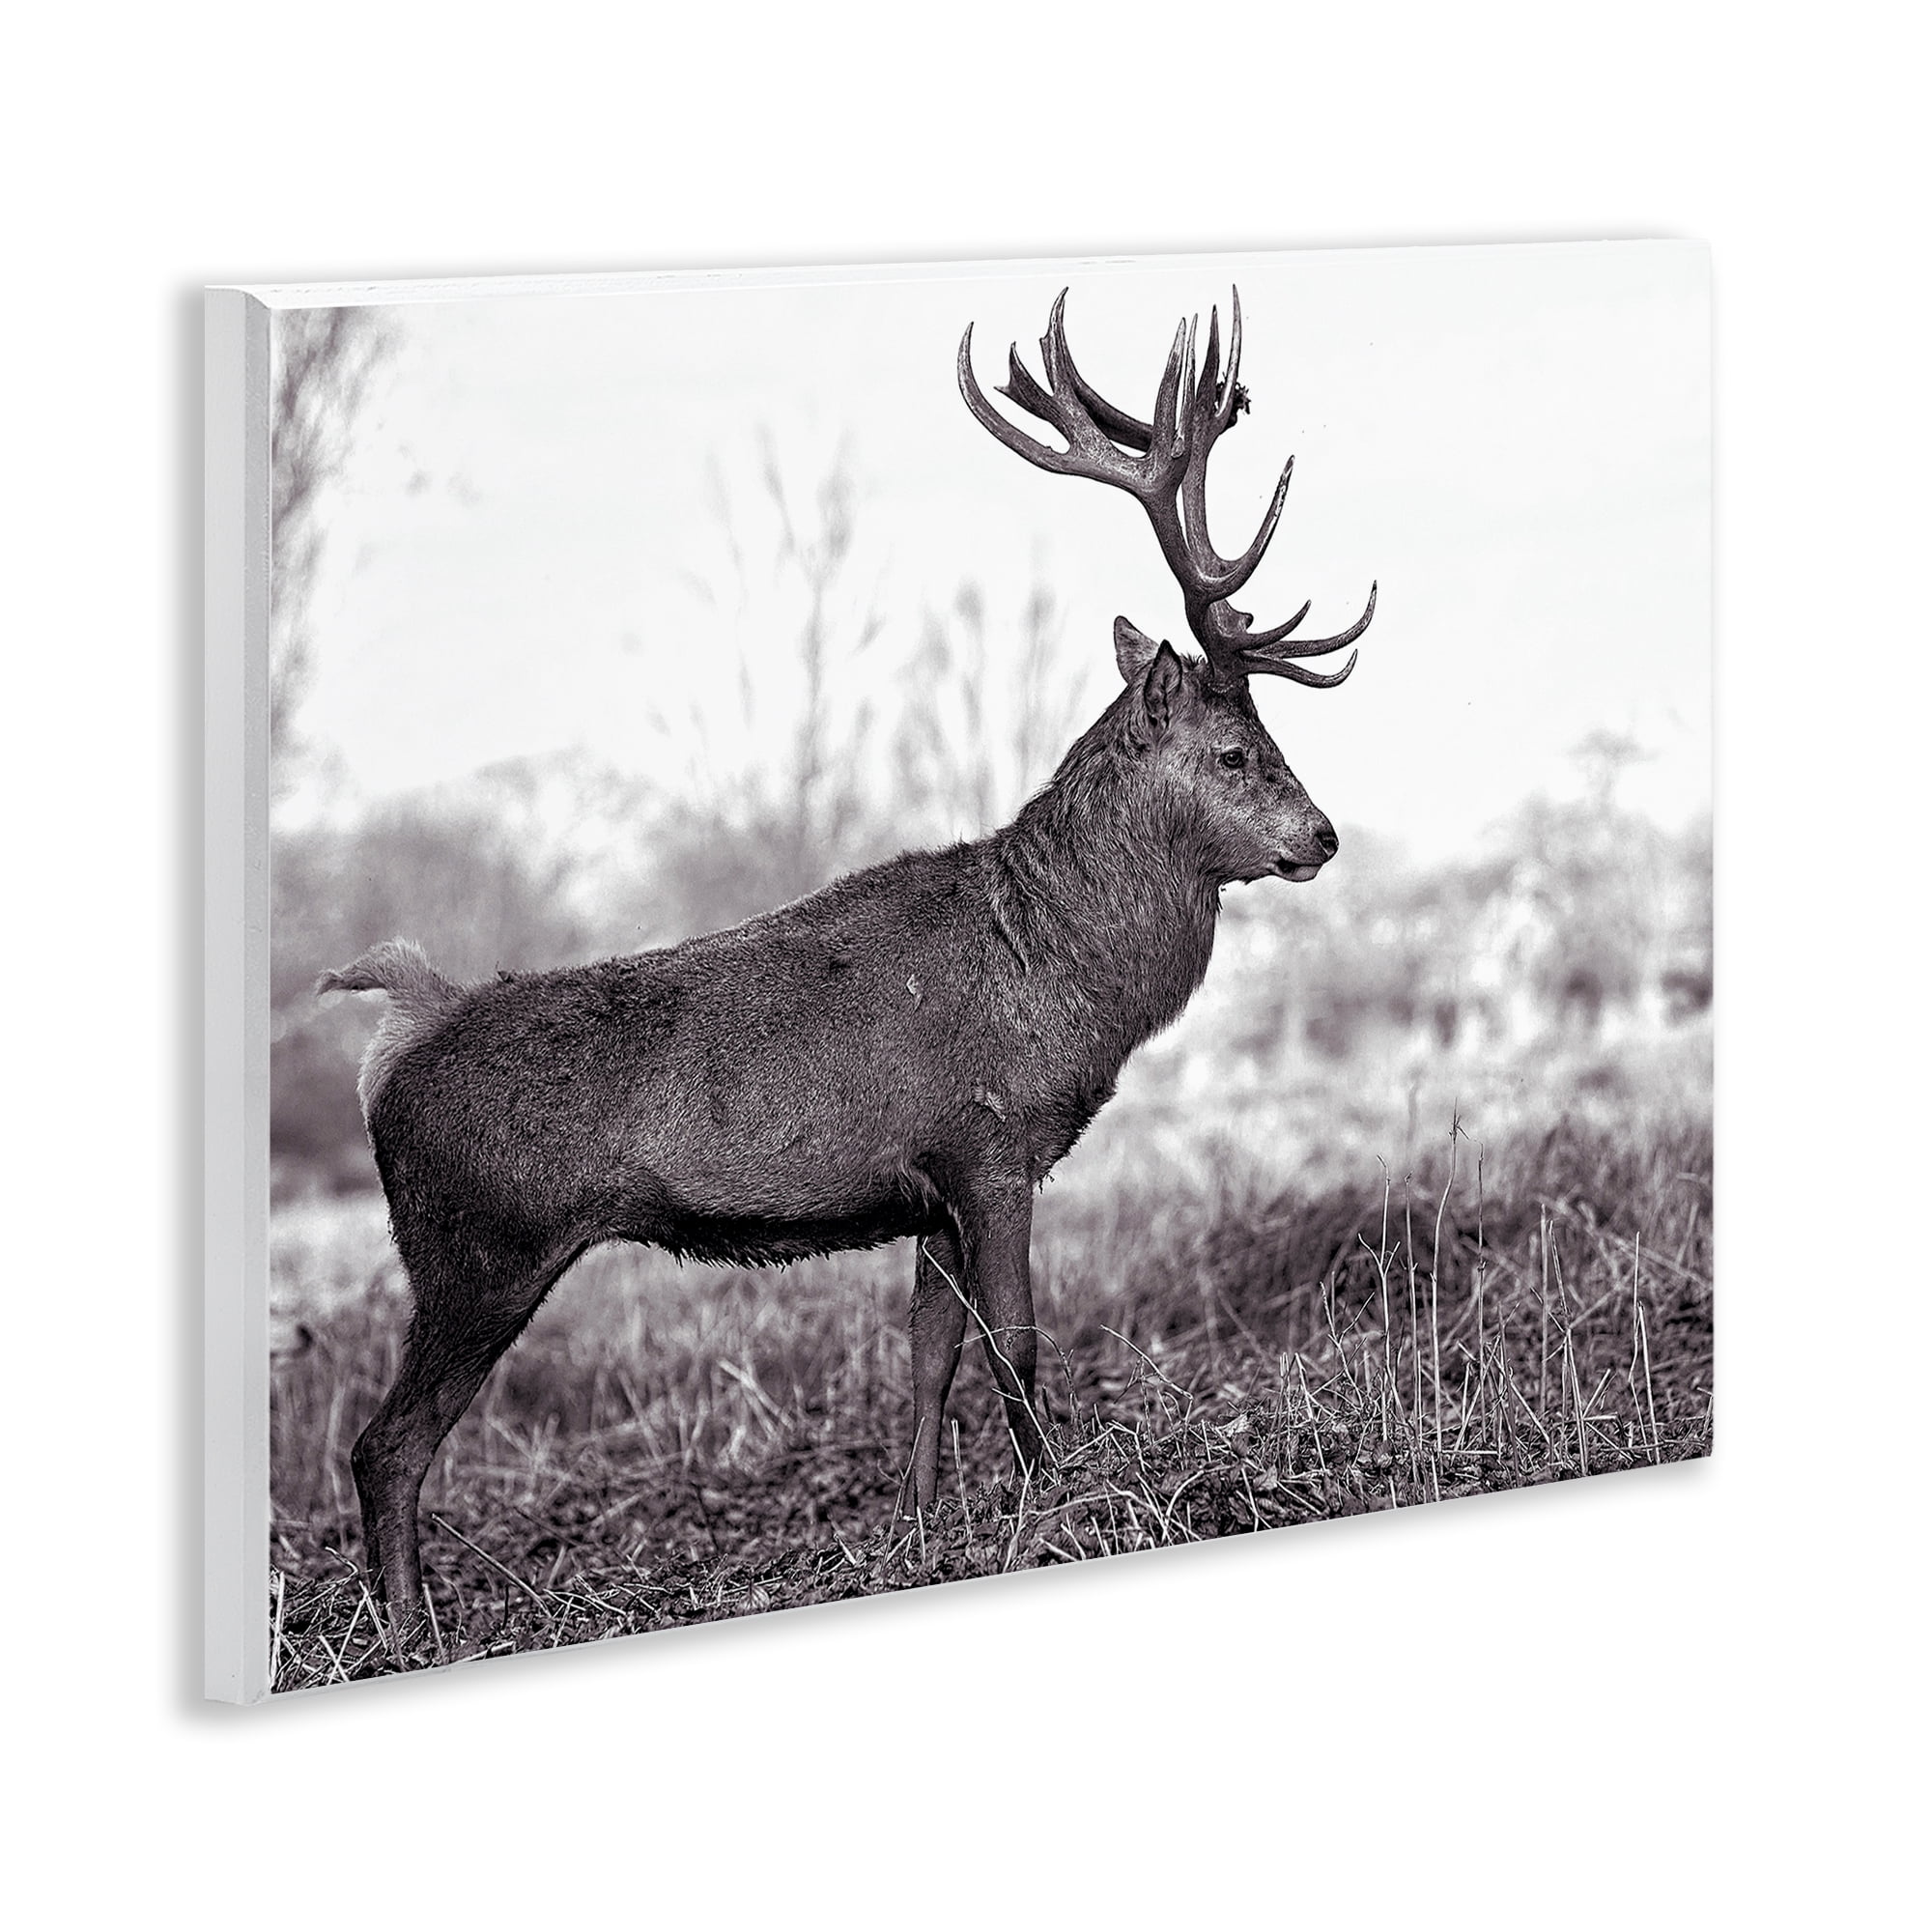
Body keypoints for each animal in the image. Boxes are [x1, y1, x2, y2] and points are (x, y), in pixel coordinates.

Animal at [318, 287, 1375, 1633]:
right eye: (1236, 752)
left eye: (1271, 735)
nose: (1321, 835)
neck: (1059, 977)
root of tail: (392, 1040)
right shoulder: (990, 1142)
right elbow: (1015, 1342)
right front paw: (1057, 1500)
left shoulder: (926, 1187)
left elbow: (925, 1356)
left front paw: (916, 1528)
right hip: (477, 1247)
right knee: (383, 1443)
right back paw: (412, 1627)